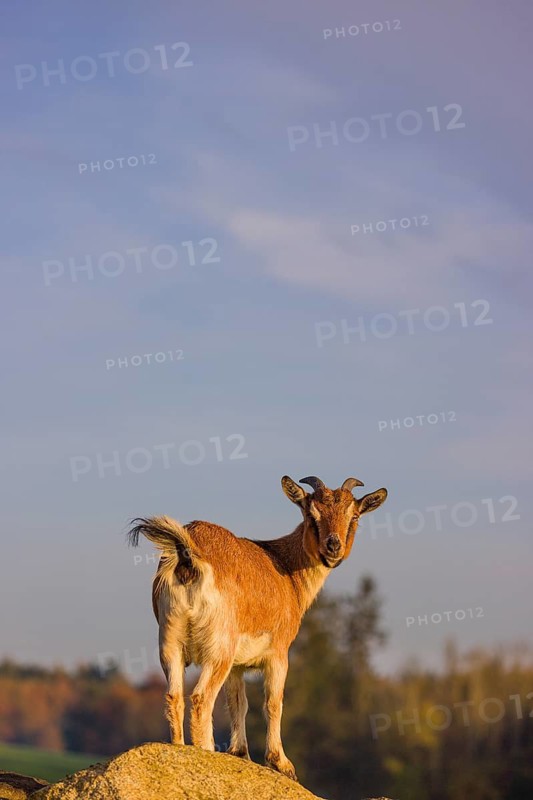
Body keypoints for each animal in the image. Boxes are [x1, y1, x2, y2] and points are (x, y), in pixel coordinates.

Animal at [127, 474, 387, 780]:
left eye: (354, 515)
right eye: (311, 514)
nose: (333, 547)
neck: (286, 570)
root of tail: (188, 556)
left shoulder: (237, 666)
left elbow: (238, 702)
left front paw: (240, 753)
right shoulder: (278, 653)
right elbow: (273, 702)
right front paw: (282, 763)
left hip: (170, 641)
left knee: (174, 696)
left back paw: (180, 749)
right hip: (219, 648)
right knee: (202, 698)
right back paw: (206, 753)